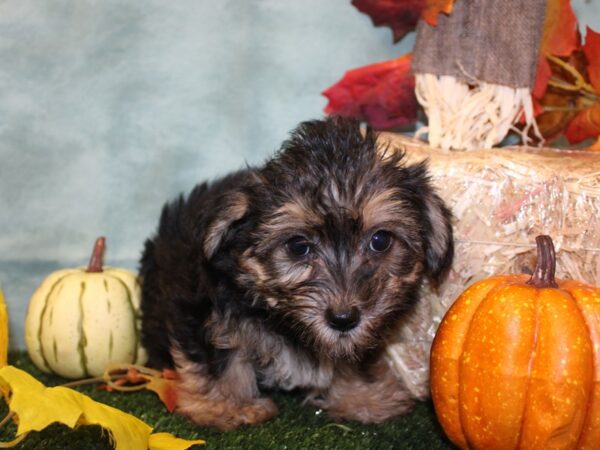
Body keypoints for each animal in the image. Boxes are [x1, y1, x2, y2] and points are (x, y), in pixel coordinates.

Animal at [138, 116, 452, 428]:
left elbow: (351, 353)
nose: (343, 319)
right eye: (298, 246)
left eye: (381, 241)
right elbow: (220, 355)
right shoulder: (205, 308)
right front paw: (229, 406)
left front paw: (363, 396)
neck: (285, 323)